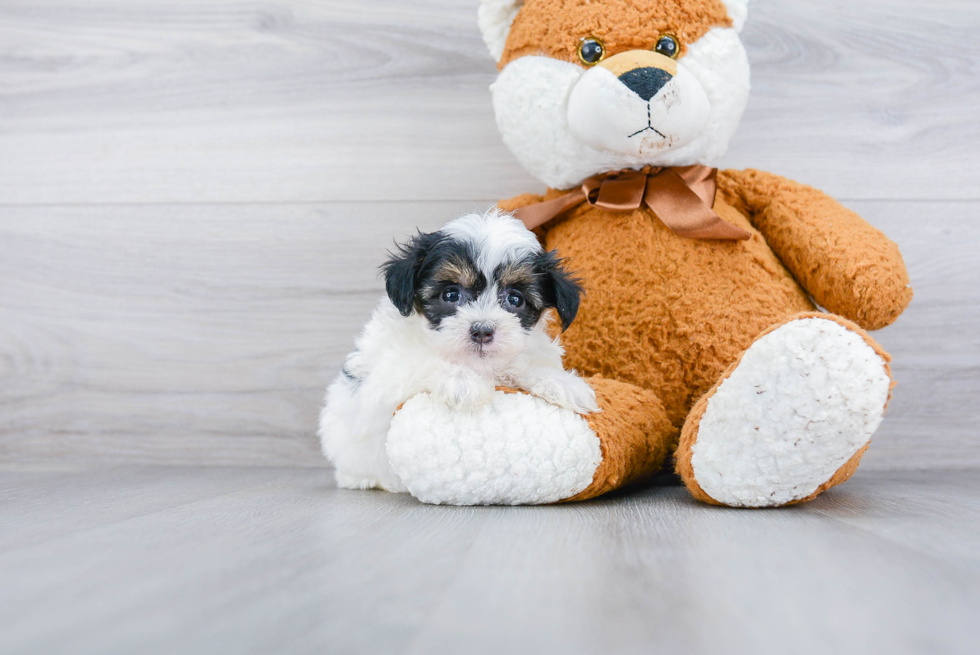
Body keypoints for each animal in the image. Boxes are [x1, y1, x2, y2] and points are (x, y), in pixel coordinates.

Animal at [322, 210, 596, 492]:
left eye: (515, 299)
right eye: (451, 294)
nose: (482, 330)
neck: (478, 365)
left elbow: (526, 364)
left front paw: (563, 384)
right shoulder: (385, 374)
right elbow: (421, 361)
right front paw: (463, 381)